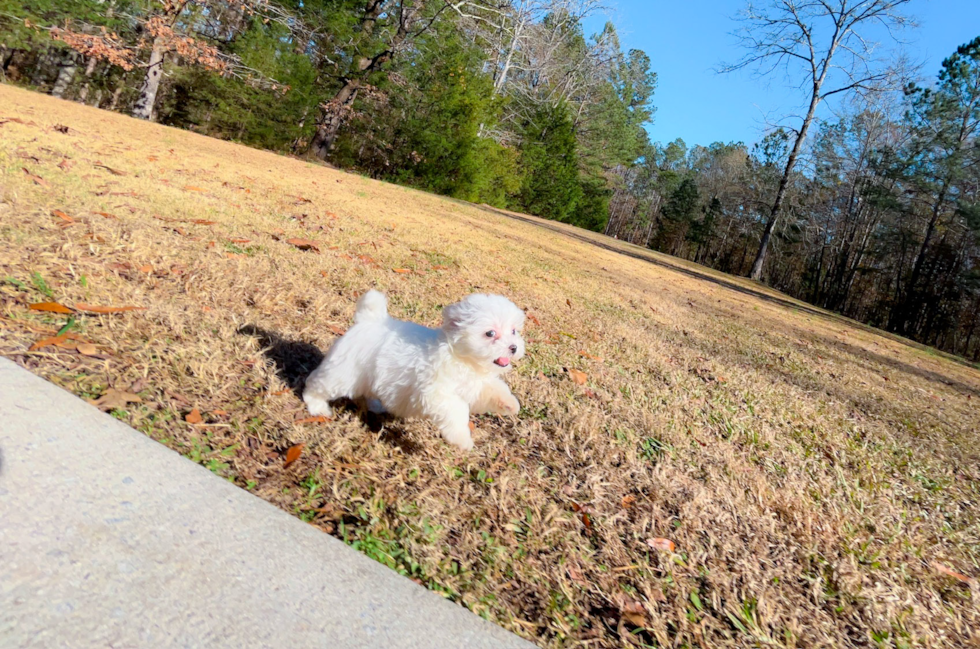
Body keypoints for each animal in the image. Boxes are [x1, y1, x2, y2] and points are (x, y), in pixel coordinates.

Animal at [302, 290, 524, 448]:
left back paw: (375, 405)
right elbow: (457, 411)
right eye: (490, 333)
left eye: (513, 331)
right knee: (316, 384)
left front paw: (510, 404)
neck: (461, 357)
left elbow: (494, 390)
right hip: (343, 373)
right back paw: (316, 406)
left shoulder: (475, 386)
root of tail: (369, 320)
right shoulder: (436, 393)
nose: (513, 347)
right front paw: (462, 439)